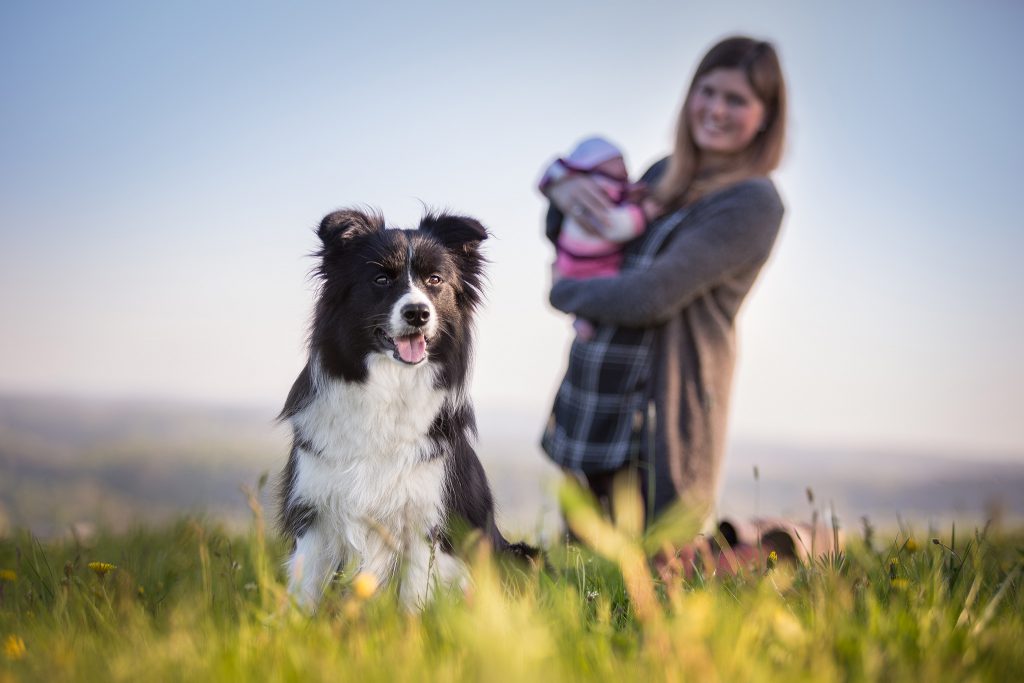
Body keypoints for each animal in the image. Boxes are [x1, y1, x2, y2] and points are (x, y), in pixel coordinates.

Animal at [280, 208, 536, 610]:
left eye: (435, 280)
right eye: (381, 279)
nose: (417, 313)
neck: (389, 389)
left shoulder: (428, 520)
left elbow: (413, 597)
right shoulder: (314, 510)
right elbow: (304, 589)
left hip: (520, 556)